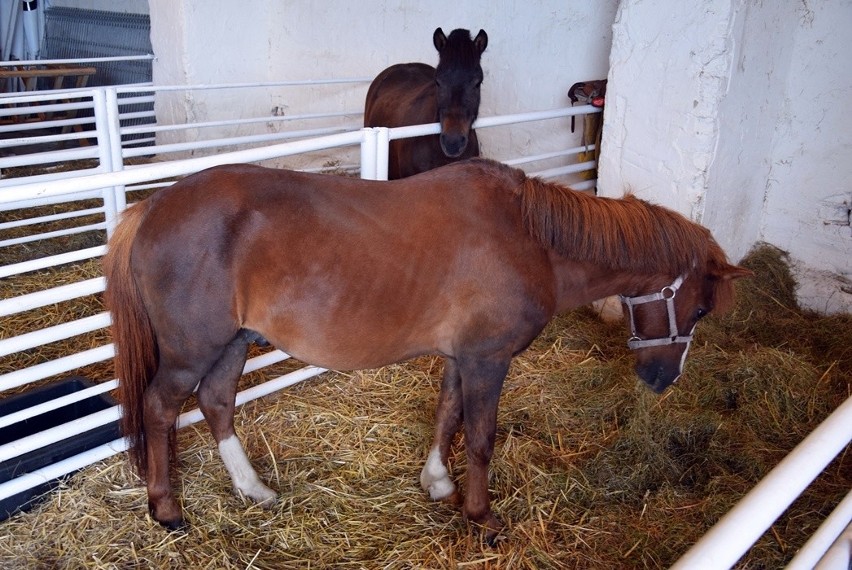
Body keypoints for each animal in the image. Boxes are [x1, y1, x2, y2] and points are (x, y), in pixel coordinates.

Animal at [103, 158, 748, 544]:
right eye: (698, 309)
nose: (663, 379)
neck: (530, 240)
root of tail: (153, 207)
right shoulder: (489, 359)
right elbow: (481, 437)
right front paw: (482, 517)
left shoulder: (463, 356)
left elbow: (447, 413)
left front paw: (437, 481)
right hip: (190, 350)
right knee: (161, 408)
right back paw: (166, 509)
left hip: (233, 342)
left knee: (216, 402)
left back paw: (254, 490)